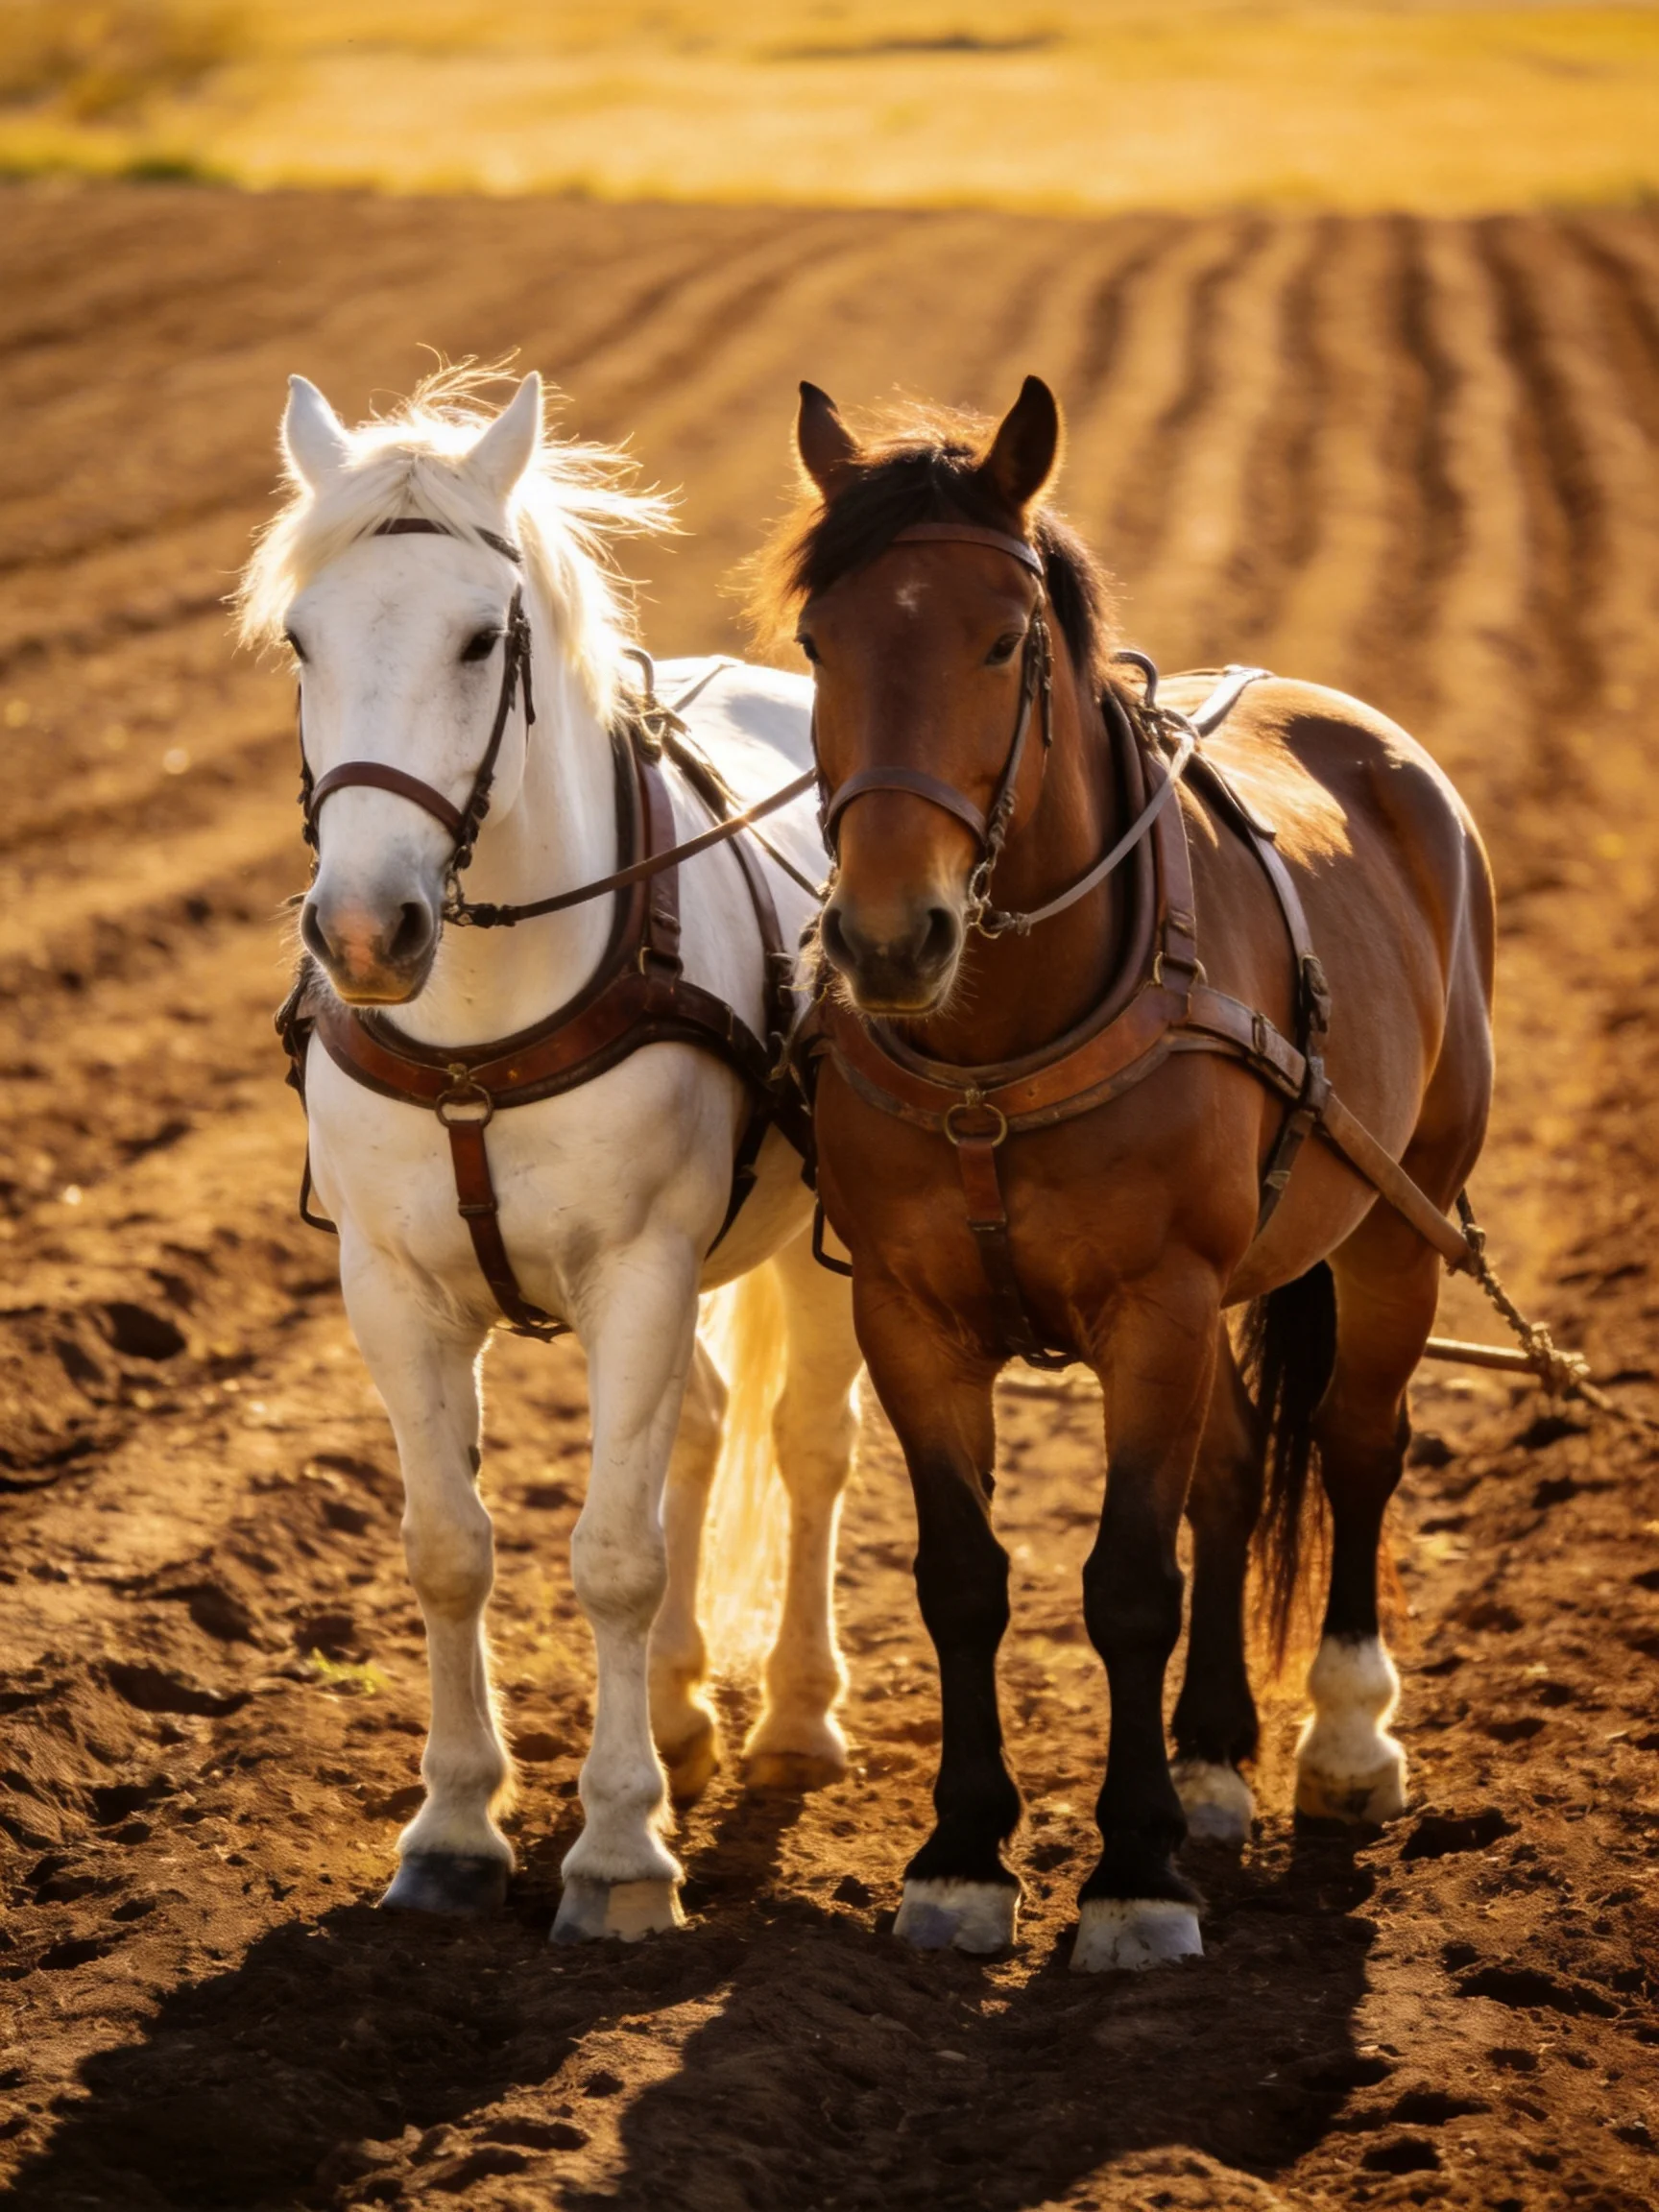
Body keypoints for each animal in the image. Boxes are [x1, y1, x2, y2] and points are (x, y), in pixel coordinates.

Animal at [239, 366, 862, 1942]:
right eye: (300, 640)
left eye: (480, 637)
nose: (364, 933)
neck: (475, 1031)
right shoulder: (392, 1290)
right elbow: (448, 1546)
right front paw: (456, 1827)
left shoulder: (640, 1268)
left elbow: (614, 1556)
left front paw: (619, 1851)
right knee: (702, 1433)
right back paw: (688, 1712)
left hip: (822, 1239)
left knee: (805, 1443)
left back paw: (792, 1718)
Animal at [768, 375, 1495, 1970]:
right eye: (817, 643)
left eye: (1003, 640)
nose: (889, 938)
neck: (995, 1050)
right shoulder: (911, 1315)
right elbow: (966, 1578)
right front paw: (964, 1855)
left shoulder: (1156, 1303)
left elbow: (1126, 1583)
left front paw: (1134, 1875)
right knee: (1234, 1469)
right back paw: (1216, 1758)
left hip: (1396, 1219)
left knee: (1357, 1443)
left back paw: (1345, 1741)